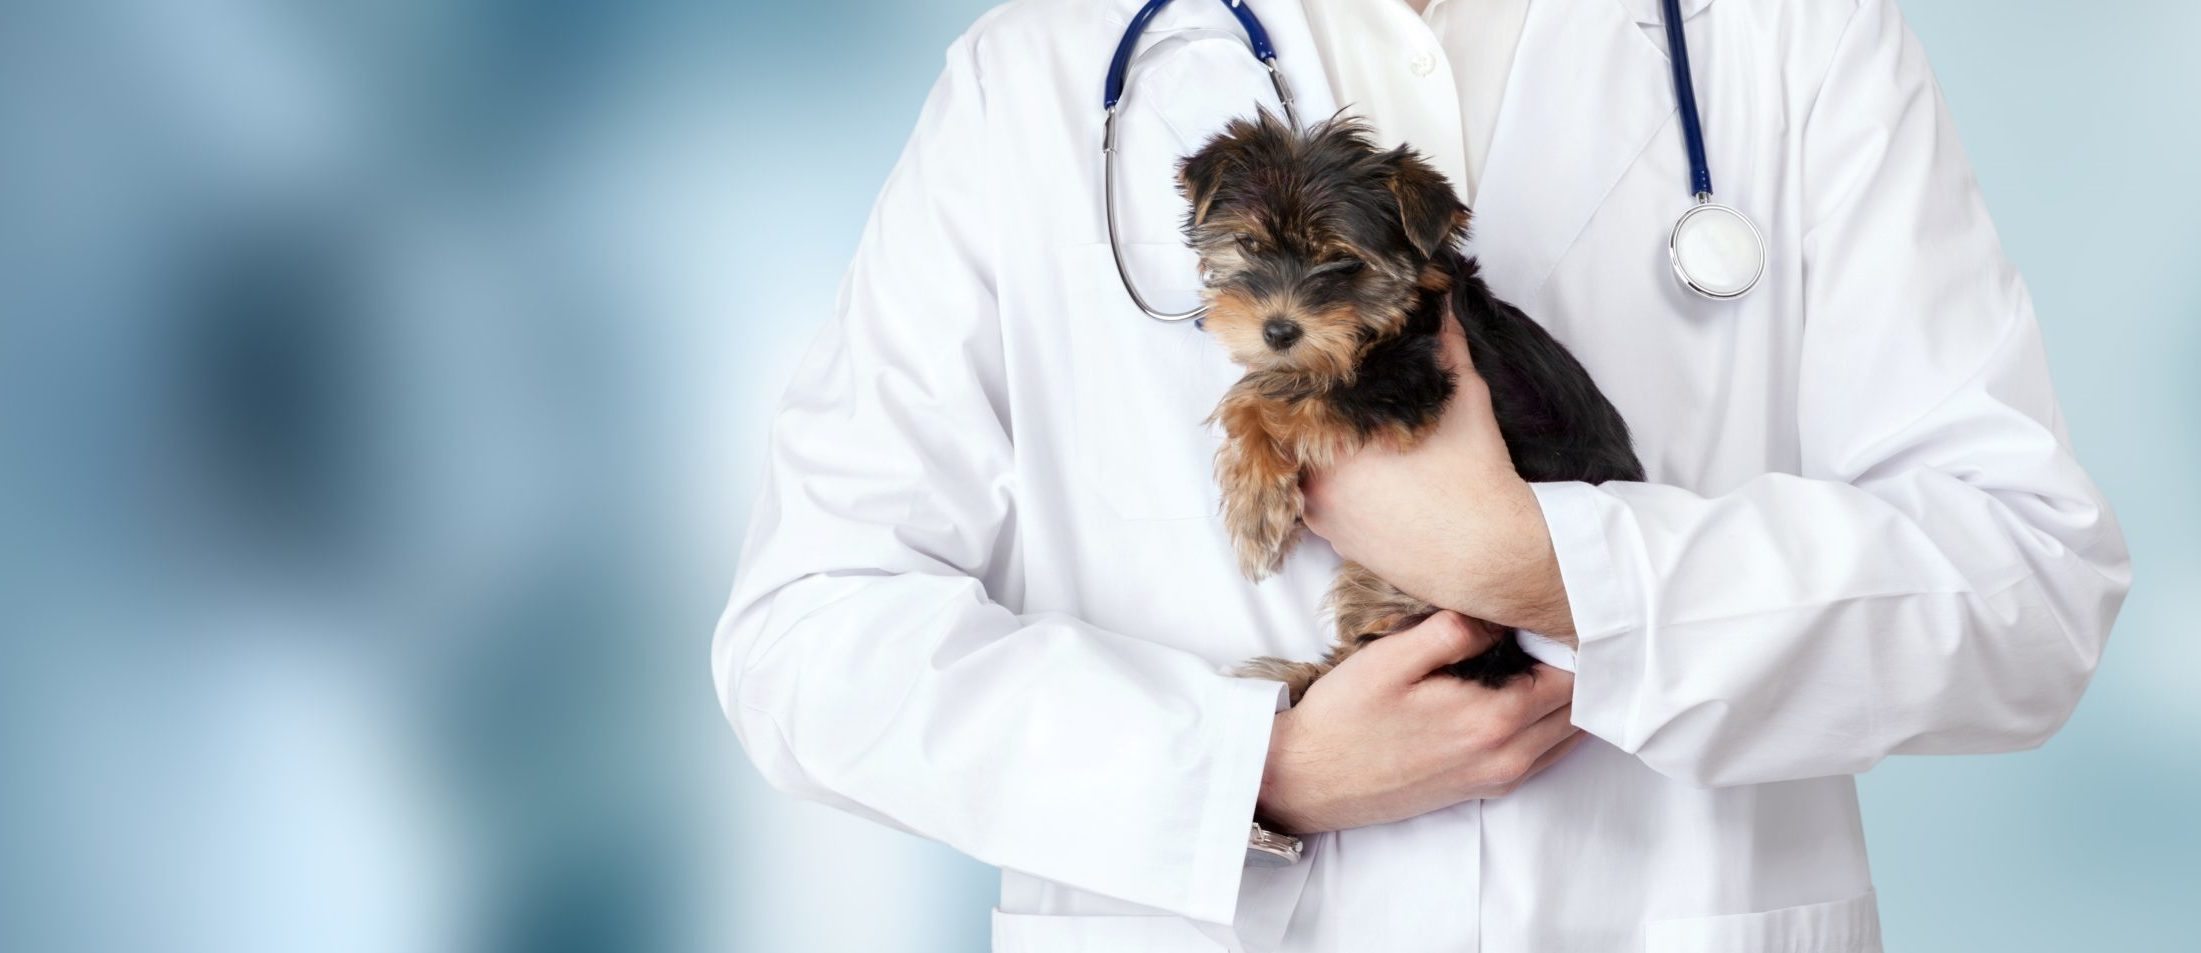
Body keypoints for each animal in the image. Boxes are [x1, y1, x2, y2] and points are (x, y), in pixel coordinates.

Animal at [1179, 114, 1646, 699]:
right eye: (1247, 243)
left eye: (1344, 262)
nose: (1279, 331)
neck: (1390, 316)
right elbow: (1273, 386)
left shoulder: (1408, 385)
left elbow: (1264, 398)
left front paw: (1255, 513)